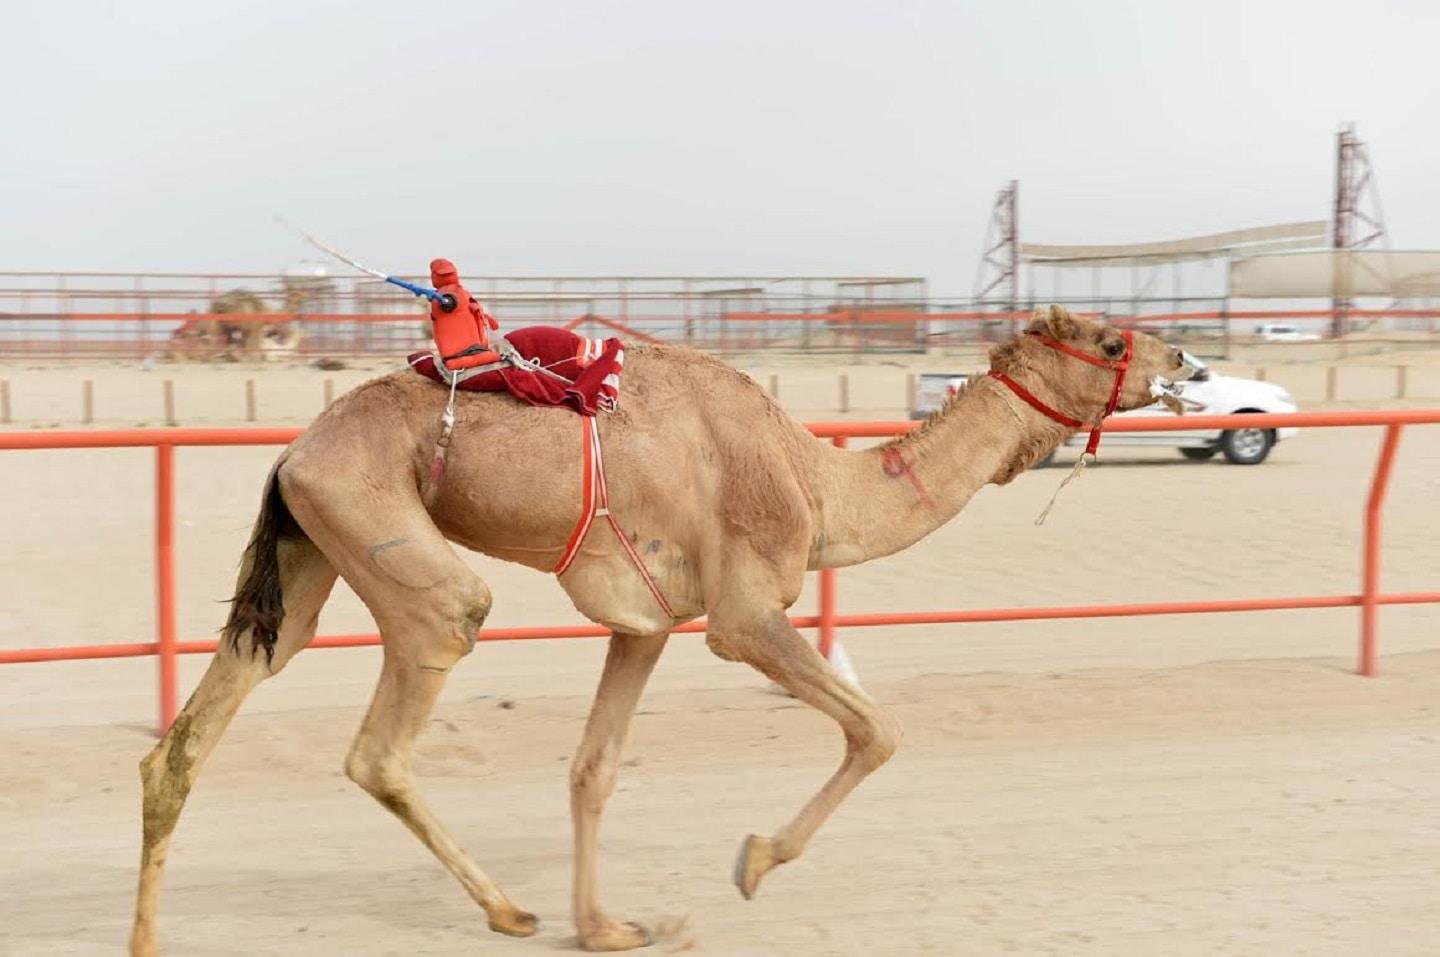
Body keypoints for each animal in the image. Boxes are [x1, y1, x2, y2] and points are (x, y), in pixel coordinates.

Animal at [129, 306, 1190, 954]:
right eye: (1107, 339)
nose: (1184, 359)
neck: (818, 484)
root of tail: (289, 453)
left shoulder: (647, 621)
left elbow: (594, 769)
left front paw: (607, 925)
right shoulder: (743, 612)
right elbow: (877, 727)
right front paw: (753, 861)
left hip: (310, 552)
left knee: (196, 731)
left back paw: (145, 933)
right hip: (397, 550)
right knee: (389, 726)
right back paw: (507, 908)